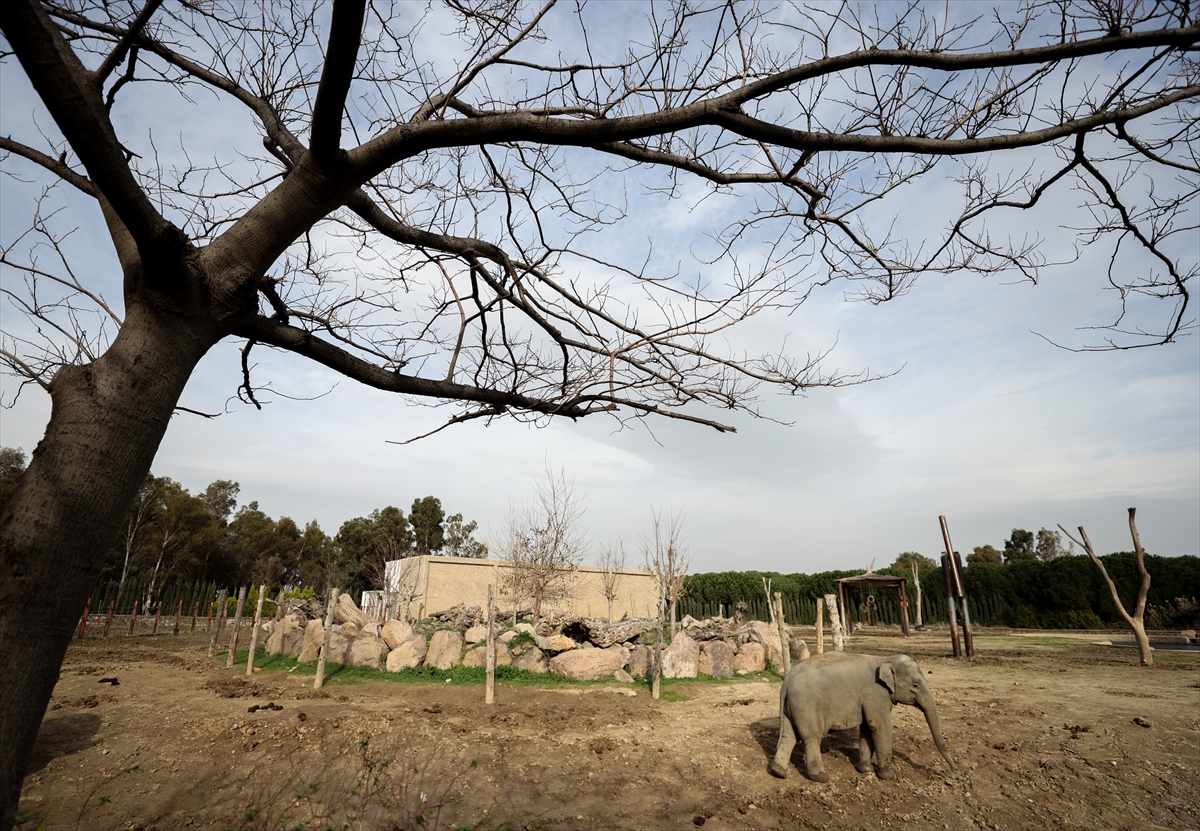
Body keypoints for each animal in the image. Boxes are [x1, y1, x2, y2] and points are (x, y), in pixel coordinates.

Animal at [768, 653, 955, 782]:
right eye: (915, 685)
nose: (953, 770)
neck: (884, 659)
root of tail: (786, 681)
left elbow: (867, 727)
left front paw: (866, 769)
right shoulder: (875, 694)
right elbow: (879, 726)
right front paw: (888, 775)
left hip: (791, 706)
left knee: (788, 736)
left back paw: (778, 772)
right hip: (807, 705)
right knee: (812, 738)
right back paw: (821, 777)